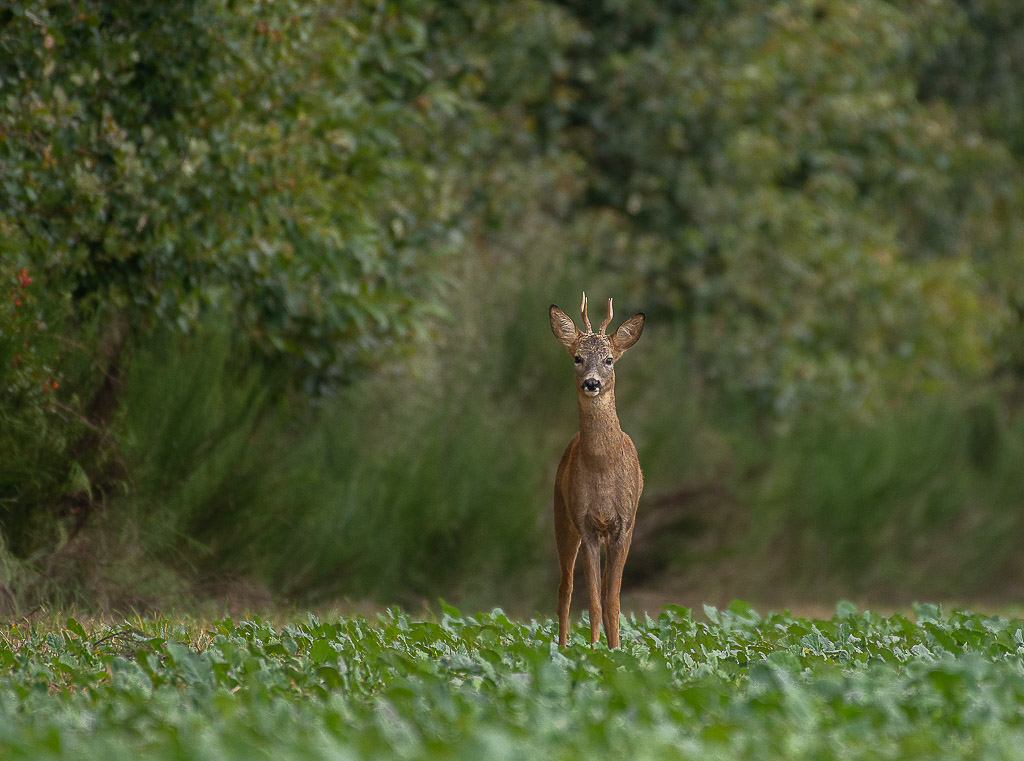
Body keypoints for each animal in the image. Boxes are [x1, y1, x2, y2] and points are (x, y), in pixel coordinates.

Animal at [548, 290, 643, 647]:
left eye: (609, 360)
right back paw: (562, 648)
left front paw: (615, 649)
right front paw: (593, 650)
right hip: (561, 516)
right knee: (565, 589)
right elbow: (592, 600)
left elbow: (612, 600)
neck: (602, 471)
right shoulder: (585, 523)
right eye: (577, 357)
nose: (591, 383)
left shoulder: (625, 523)